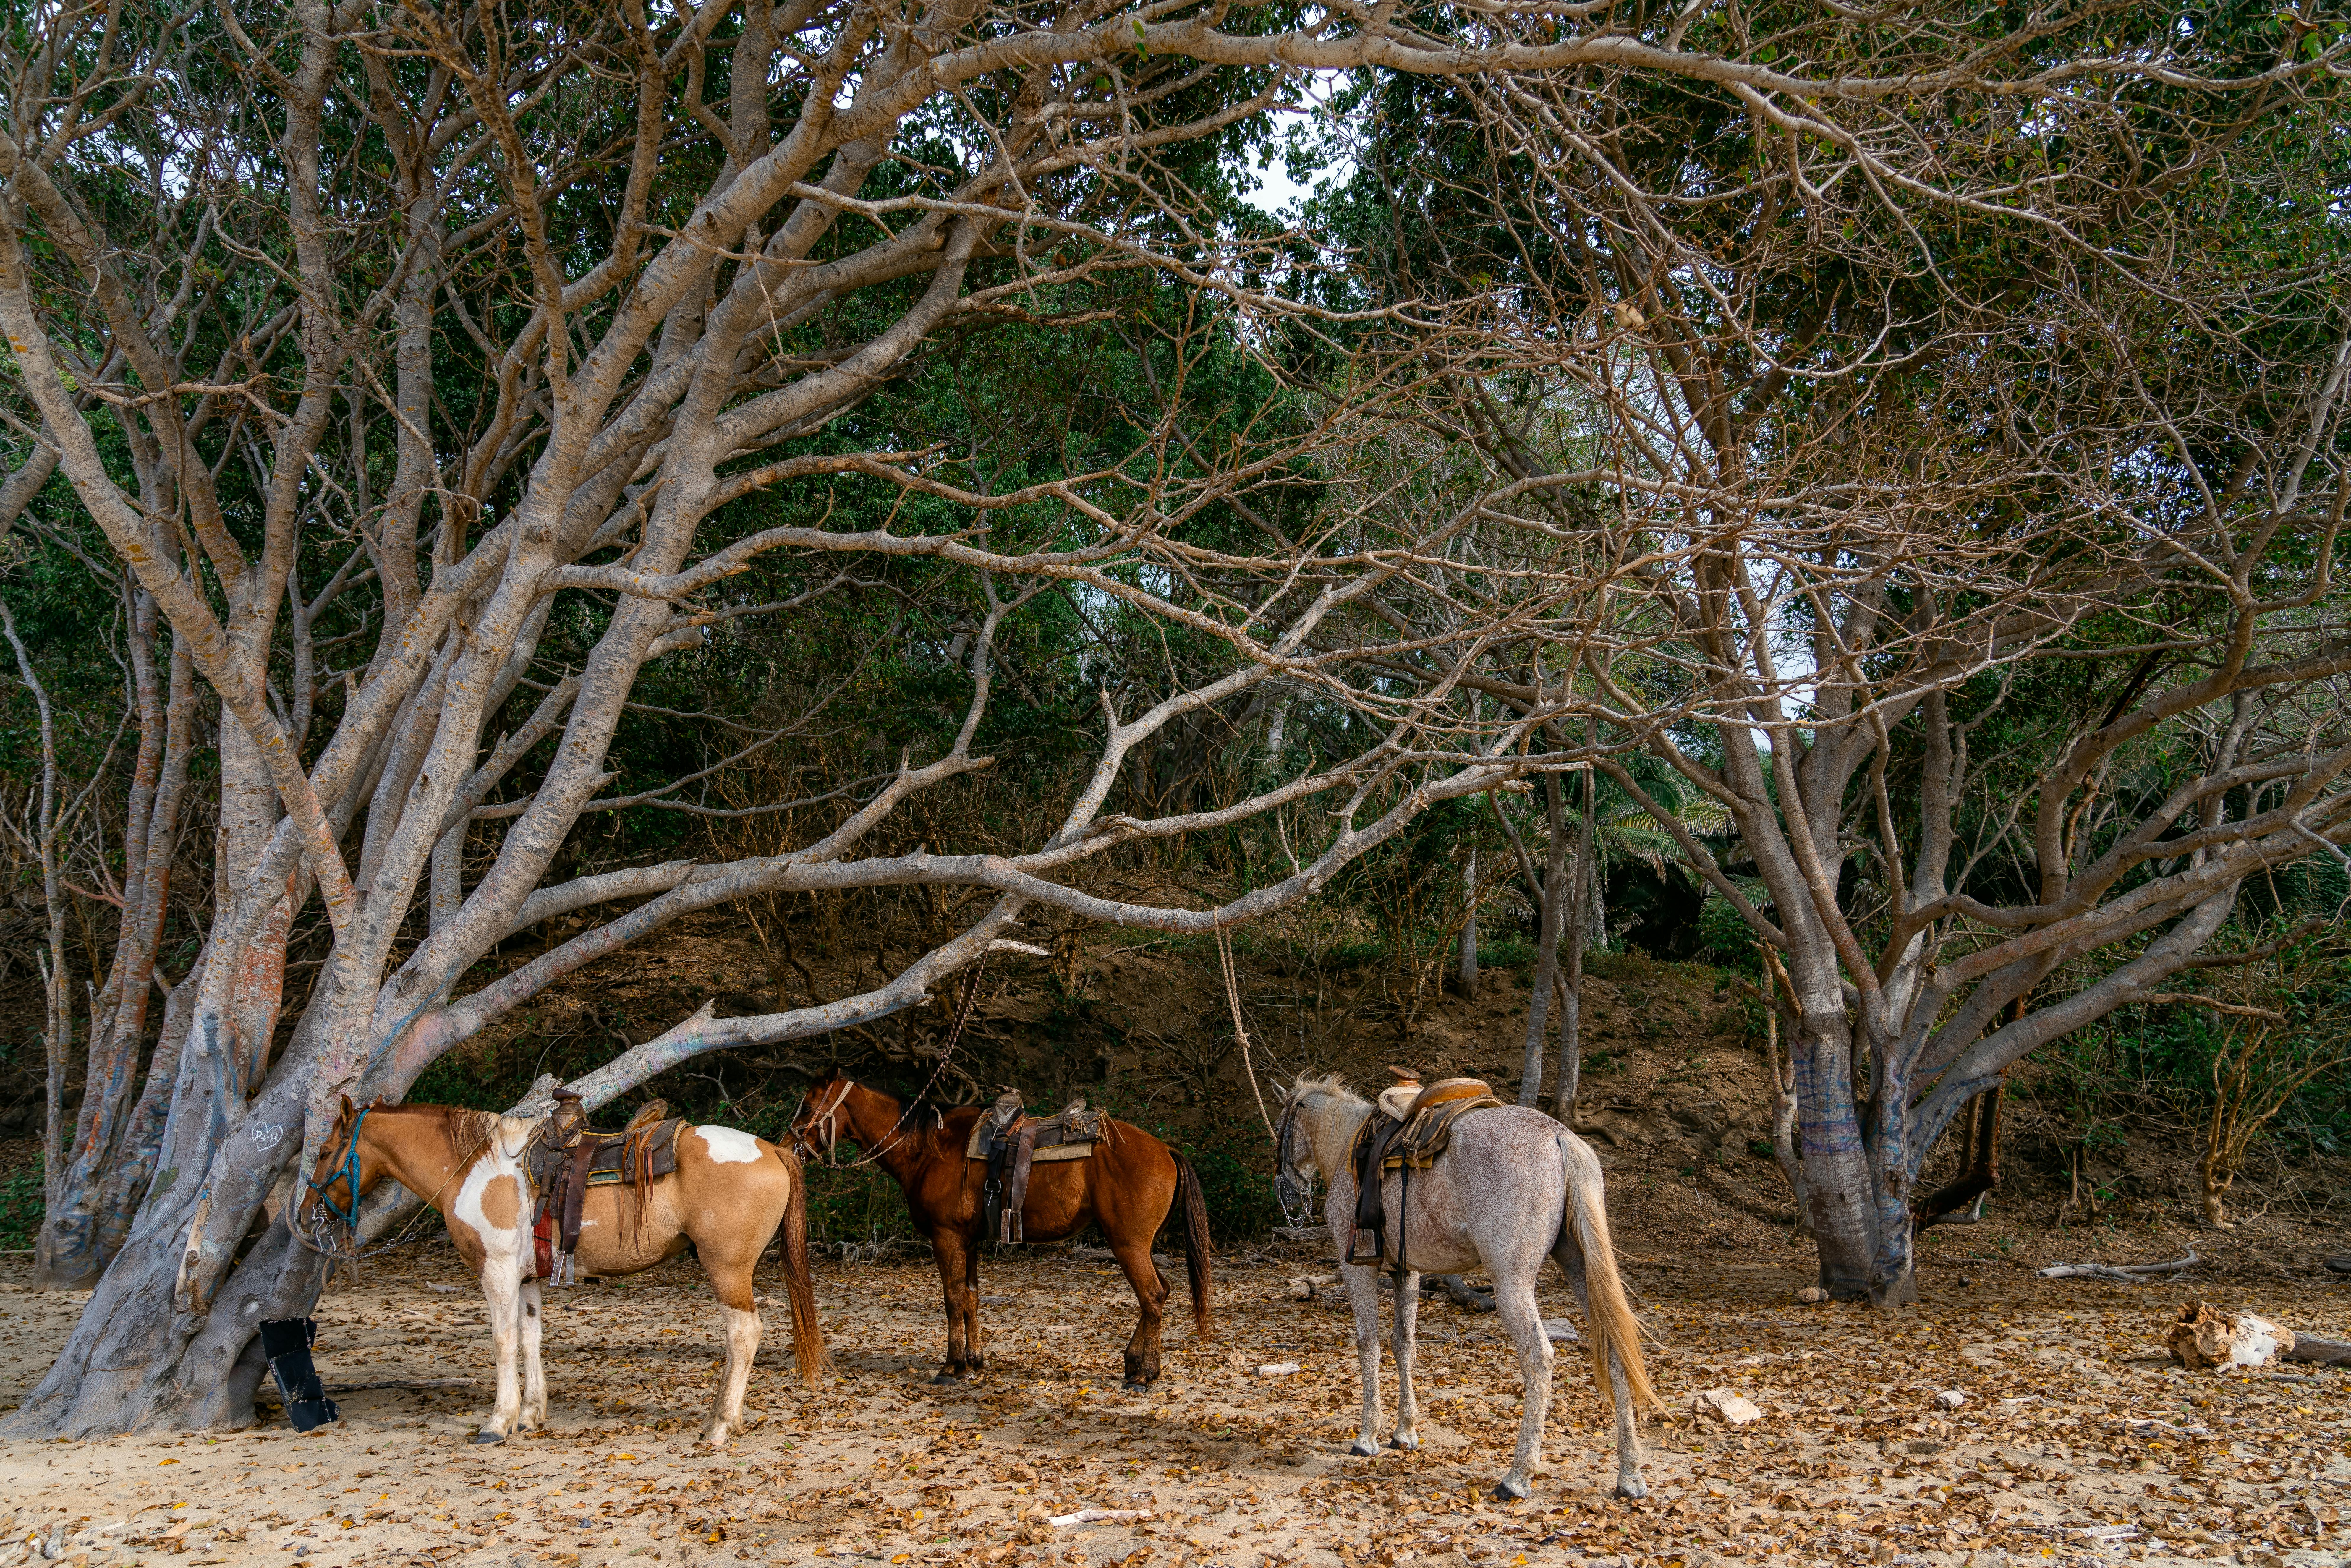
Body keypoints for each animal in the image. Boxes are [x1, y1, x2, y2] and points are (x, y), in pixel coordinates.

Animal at [300, 1095, 823, 1446]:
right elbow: (530, 1338)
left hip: (728, 1271)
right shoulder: (527, 1279)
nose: (306, 1214)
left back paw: (720, 1425)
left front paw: (498, 1423)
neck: (475, 1168)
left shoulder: (497, 1273)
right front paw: (531, 1415)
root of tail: (773, 1150)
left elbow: (503, 1342)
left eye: (325, 1153)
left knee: (745, 1335)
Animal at [787, 1071, 1211, 1391]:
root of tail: (1166, 1151)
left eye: (807, 1106)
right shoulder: (967, 1242)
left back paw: (1145, 1374)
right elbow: (971, 1299)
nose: (789, 1143)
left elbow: (953, 1300)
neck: (930, 1148)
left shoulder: (947, 1239)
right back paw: (1134, 1362)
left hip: (1128, 1244)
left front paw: (952, 1367)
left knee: (1152, 1296)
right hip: (1138, 1245)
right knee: (1159, 1293)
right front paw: (974, 1361)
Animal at [1272, 1074, 1658, 1501]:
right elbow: (1403, 1344)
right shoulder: (1406, 1272)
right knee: (1614, 1350)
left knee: (1539, 1359)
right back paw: (1630, 1475)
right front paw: (1404, 1432)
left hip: (1511, 1283)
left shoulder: (1356, 1268)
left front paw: (1367, 1436)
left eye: (1280, 1127)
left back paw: (1517, 1477)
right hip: (1580, 1268)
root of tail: (1560, 1137)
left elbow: (1368, 1345)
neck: (1347, 1148)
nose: (1285, 1190)